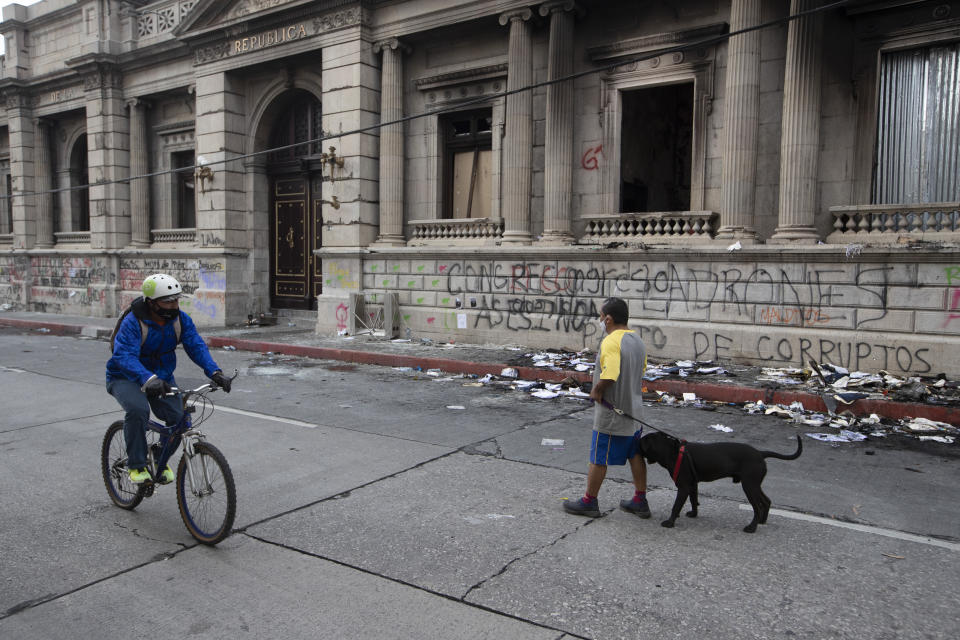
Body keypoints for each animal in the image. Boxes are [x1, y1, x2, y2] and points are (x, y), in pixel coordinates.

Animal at [644, 432, 804, 532]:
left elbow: (676, 506)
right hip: (754, 484)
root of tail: (760, 453)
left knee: (758, 507)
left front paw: (670, 523)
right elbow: (693, 500)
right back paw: (762, 521)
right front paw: (693, 514)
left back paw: (751, 528)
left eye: (641, 442)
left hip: (749, 486)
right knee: (766, 501)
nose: (638, 444)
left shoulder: (683, 487)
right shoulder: (693, 484)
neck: (674, 452)